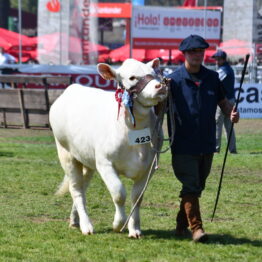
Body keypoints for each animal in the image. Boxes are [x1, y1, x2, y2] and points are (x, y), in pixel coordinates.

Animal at [48, 58, 168, 238]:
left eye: (154, 74)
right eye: (132, 77)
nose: (160, 86)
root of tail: (72, 88)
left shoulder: (149, 167)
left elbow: (137, 197)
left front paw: (134, 229)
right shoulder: (105, 163)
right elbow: (118, 193)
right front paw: (118, 224)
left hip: (87, 160)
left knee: (83, 188)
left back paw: (74, 220)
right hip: (67, 155)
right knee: (76, 190)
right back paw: (86, 226)